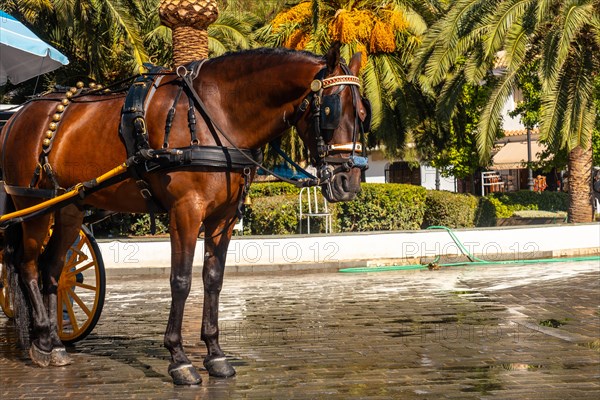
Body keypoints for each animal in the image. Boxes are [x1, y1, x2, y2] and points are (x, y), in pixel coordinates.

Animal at [0, 44, 368, 384]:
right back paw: (42, 339)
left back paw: (53, 343)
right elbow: (181, 281)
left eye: (363, 112)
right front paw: (179, 359)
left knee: (52, 270)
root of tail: (21, 113)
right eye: (332, 110)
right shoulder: (185, 212)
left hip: (67, 209)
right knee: (27, 265)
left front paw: (215, 354)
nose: (349, 182)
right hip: (33, 206)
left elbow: (213, 280)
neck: (217, 113)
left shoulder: (224, 218)